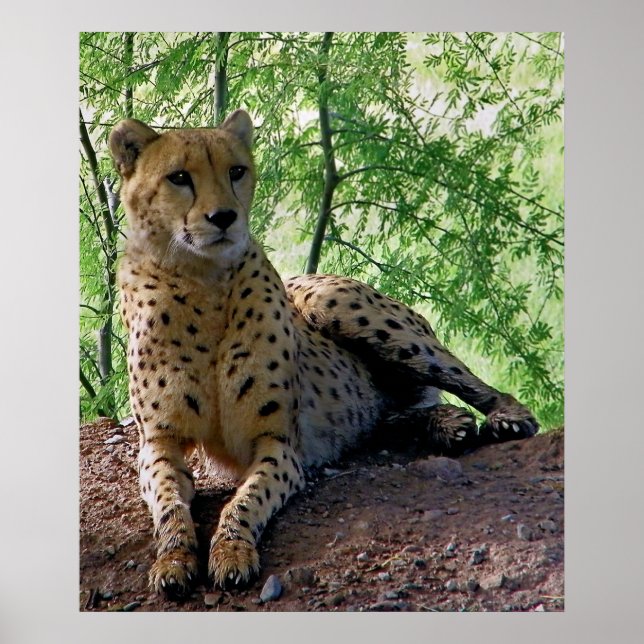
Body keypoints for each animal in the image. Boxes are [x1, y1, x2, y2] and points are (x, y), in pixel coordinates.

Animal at [109, 109, 538, 599]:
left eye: (236, 171)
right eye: (179, 177)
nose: (225, 217)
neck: (203, 281)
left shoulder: (277, 443)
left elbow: (245, 501)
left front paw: (232, 550)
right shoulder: (158, 443)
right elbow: (168, 504)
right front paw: (174, 559)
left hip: (343, 308)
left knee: (463, 382)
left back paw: (502, 416)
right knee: (386, 416)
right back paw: (447, 424)